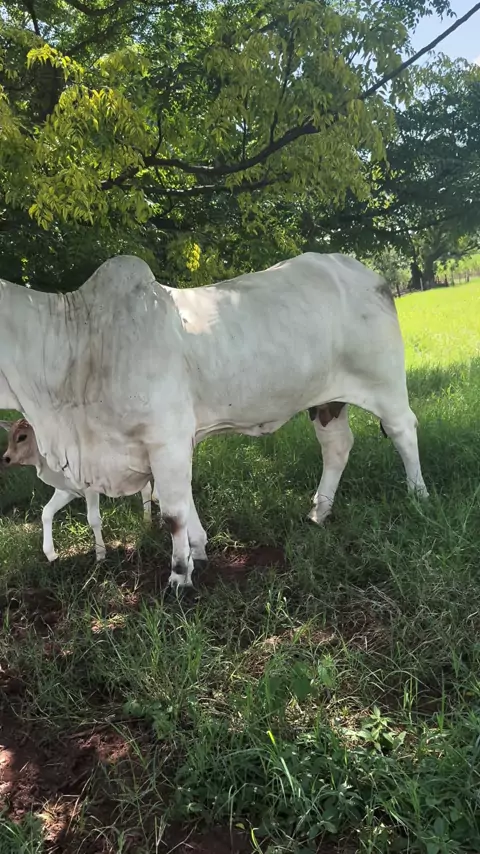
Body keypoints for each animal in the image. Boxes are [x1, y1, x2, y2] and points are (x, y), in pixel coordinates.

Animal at [0, 418, 157, 562]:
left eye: (22, 437)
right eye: (9, 437)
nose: (6, 458)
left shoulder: (90, 487)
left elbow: (93, 519)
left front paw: (100, 554)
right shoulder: (67, 490)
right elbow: (46, 512)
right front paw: (51, 554)